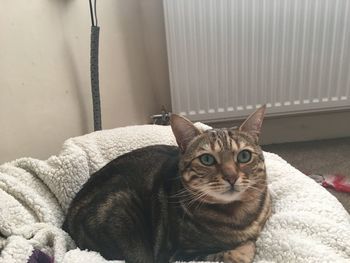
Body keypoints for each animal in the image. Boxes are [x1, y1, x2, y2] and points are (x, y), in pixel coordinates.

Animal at [63, 105, 270, 263]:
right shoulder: (175, 255)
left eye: (244, 156)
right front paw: (241, 249)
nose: (231, 176)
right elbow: (238, 251)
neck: (237, 215)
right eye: (207, 159)